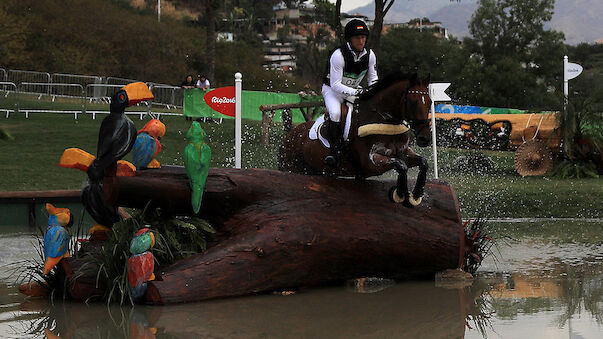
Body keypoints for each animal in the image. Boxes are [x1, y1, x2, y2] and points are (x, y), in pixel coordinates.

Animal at [278, 71, 434, 207]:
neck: (386, 120)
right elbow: (401, 165)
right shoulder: (370, 162)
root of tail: (289, 136)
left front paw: (416, 195)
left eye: (430, 102)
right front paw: (400, 194)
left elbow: (423, 162)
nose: (425, 138)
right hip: (294, 168)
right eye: (413, 102)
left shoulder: (403, 152)